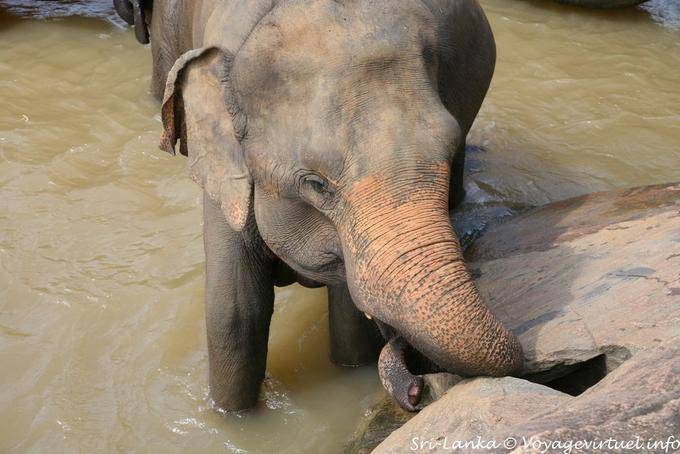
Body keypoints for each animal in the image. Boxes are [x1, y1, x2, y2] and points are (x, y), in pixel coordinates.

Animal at [119, 0, 524, 412]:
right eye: (316, 184)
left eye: (448, 149)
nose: (415, 392)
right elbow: (233, 312)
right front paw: (231, 416)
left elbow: (349, 319)